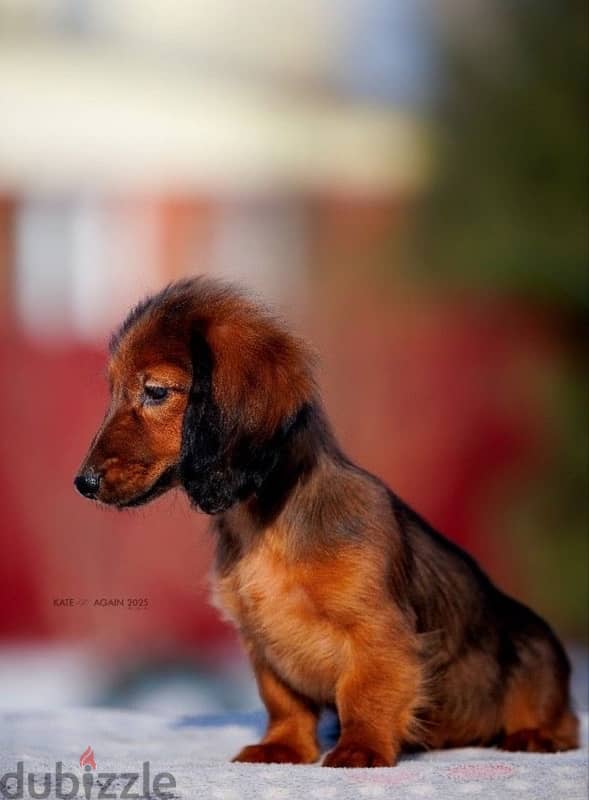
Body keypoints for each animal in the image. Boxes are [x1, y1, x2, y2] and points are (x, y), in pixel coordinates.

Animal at [76, 278, 576, 764]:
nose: (83, 483)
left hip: (534, 658)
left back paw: (534, 736)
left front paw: (360, 748)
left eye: (156, 391)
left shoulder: (377, 631)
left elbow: (364, 693)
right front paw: (282, 748)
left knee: (564, 724)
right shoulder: (263, 642)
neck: (268, 526)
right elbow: (285, 702)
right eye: (113, 390)